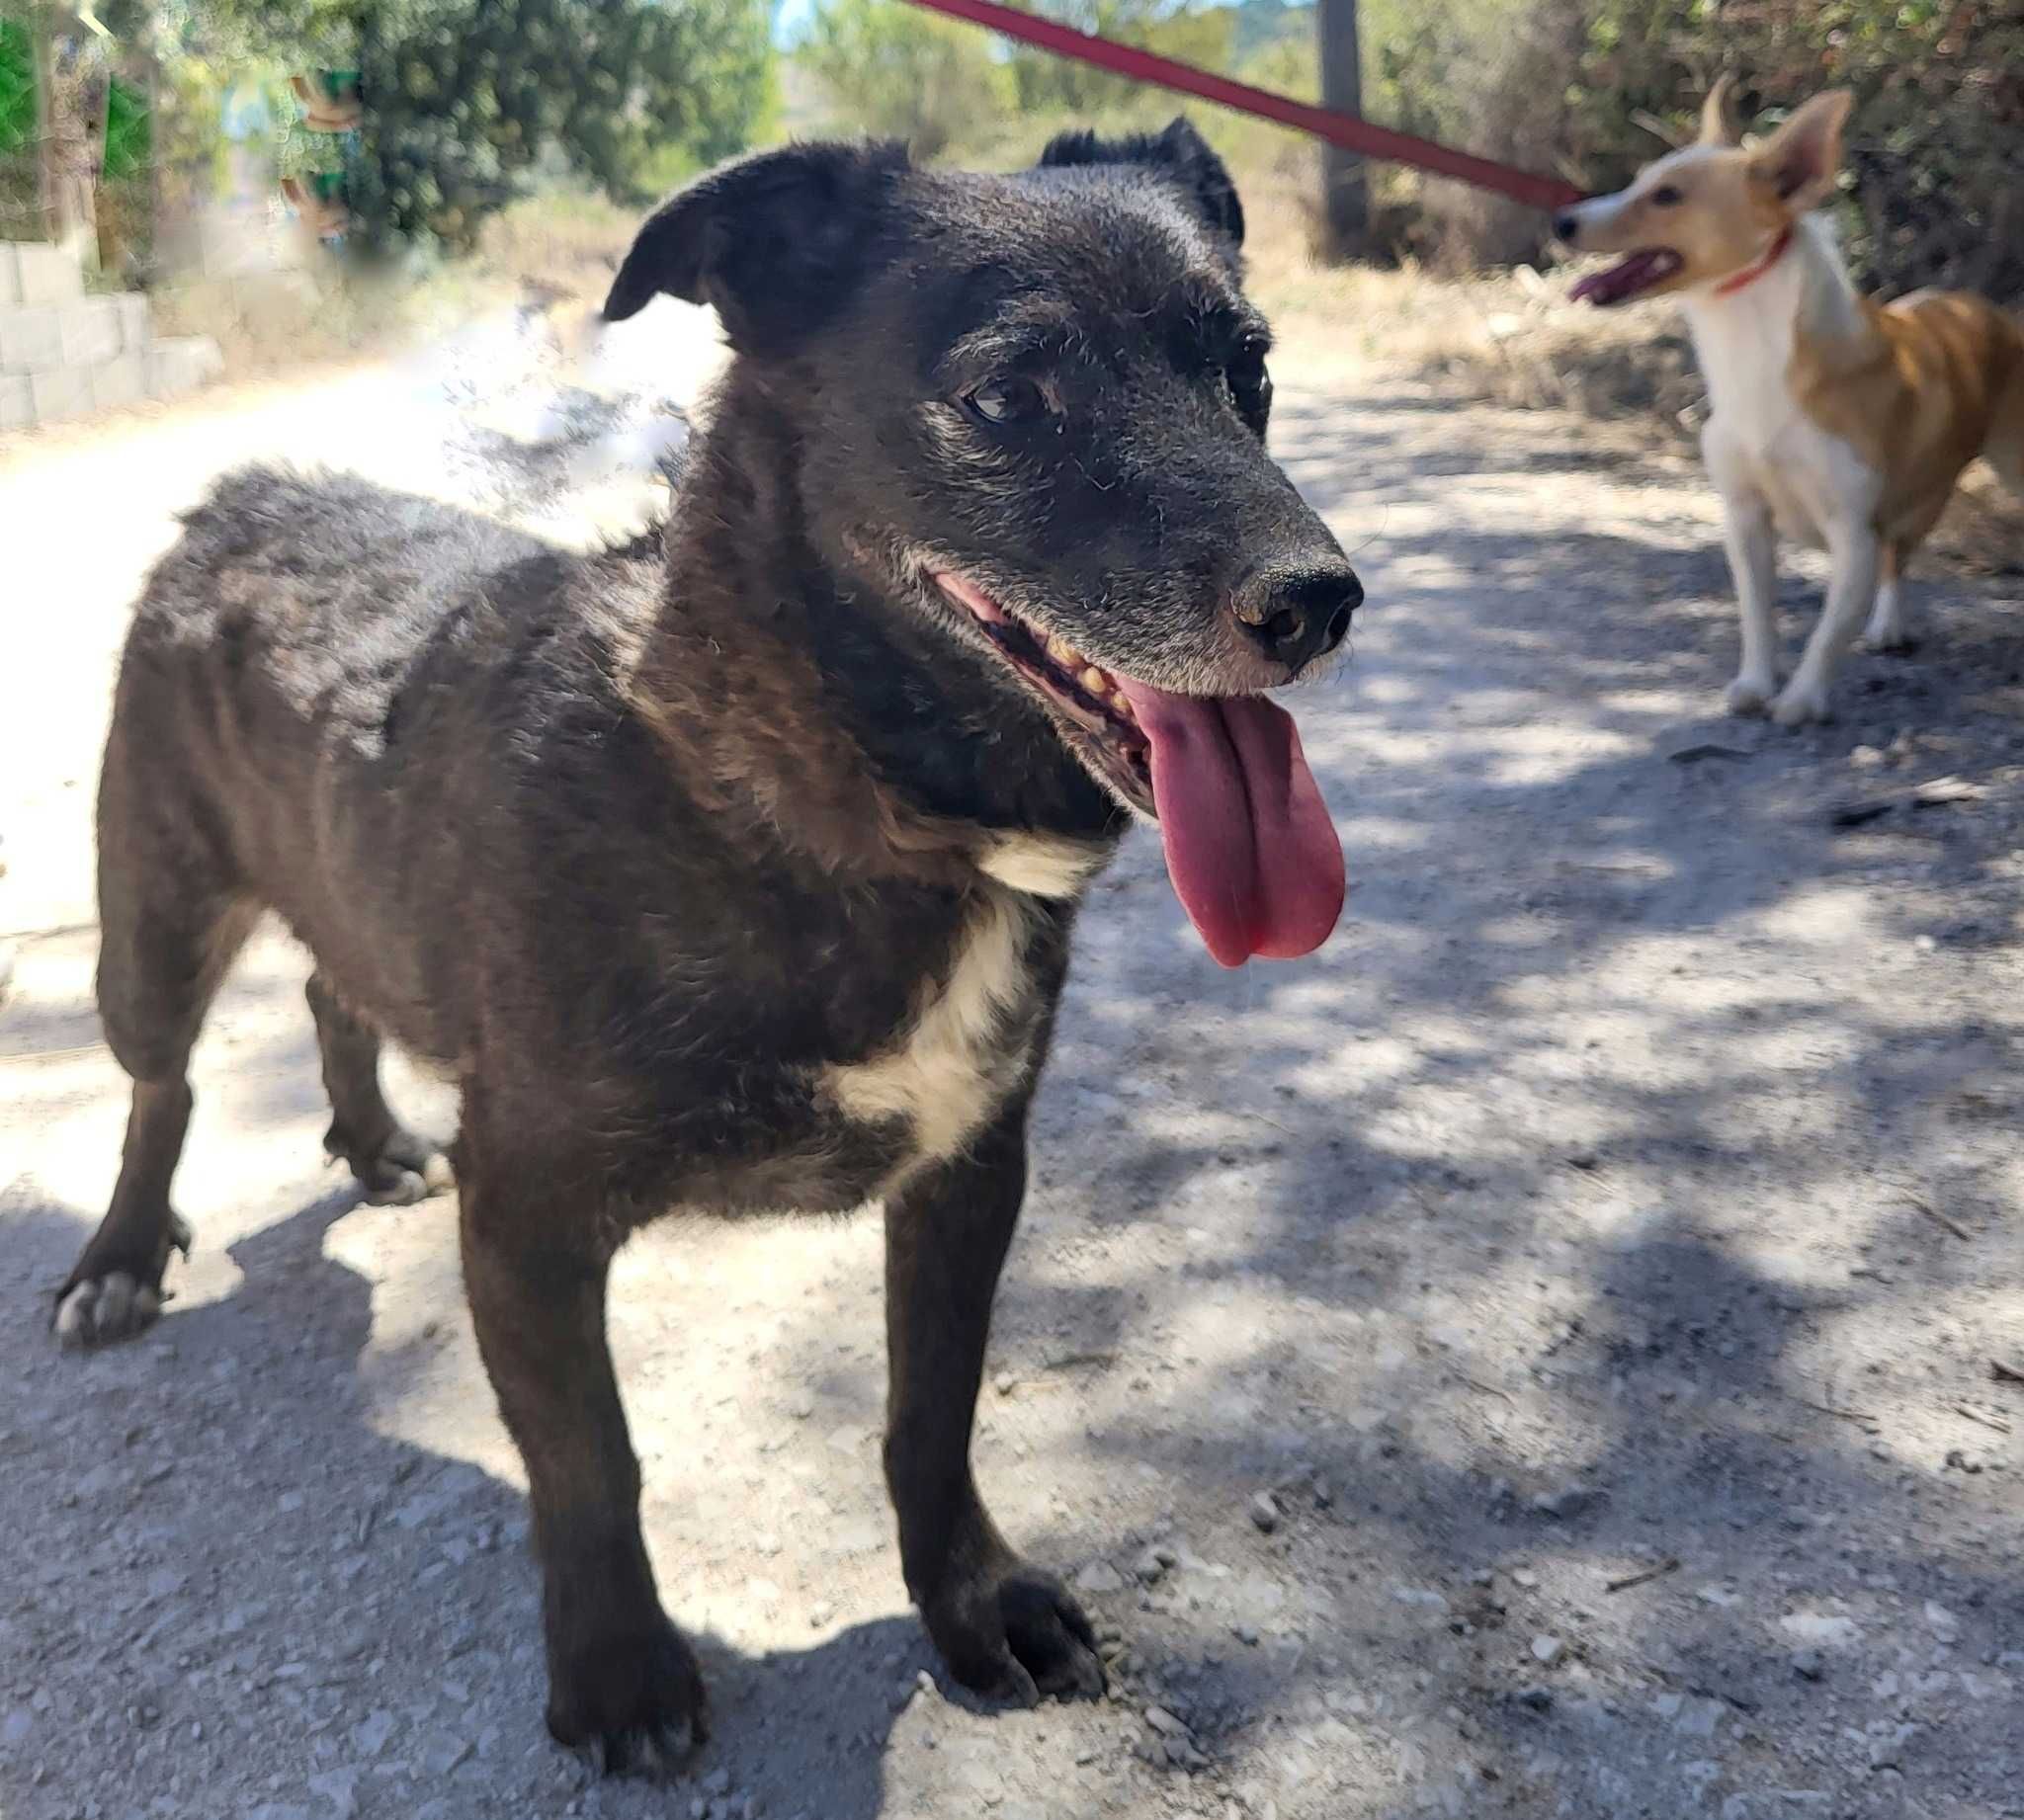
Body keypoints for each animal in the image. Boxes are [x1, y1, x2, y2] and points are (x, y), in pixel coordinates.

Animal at [58, 121, 1360, 1773]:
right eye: (1010, 394)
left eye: (1247, 367)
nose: (1321, 599)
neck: (835, 798)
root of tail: (241, 492)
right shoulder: (527, 1212)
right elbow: (588, 1456)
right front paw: (618, 1666)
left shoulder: (970, 1169)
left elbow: (933, 1414)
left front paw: (972, 1601)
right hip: (149, 926)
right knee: (160, 1087)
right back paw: (117, 1258)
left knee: (329, 975)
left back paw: (368, 1134)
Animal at [1554, 83, 2015, 724]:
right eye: (1641, 180)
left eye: (1667, 195)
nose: (1559, 221)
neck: (1755, 361)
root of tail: (1980, 305)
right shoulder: (1745, 517)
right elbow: (1758, 613)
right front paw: (1756, 682)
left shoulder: (1850, 533)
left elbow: (1827, 631)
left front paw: (1801, 698)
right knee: (1898, 561)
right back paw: (1889, 624)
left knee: (1898, 555)